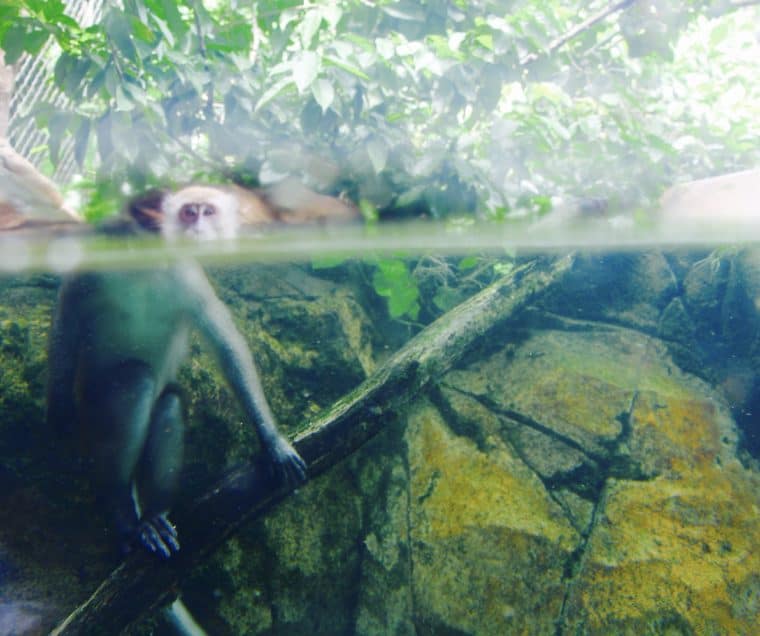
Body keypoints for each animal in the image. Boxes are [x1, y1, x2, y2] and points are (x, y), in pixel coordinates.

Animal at [46, 185, 306, 560]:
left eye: (206, 212)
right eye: (187, 212)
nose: (196, 226)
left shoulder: (189, 277)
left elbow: (227, 348)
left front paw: (271, 440)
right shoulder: (103, 245)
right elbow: (69, 308)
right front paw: (57, 409)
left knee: (168, 402)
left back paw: (153, 517)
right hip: (91, 408)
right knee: (134, 380)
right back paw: (121, 509)